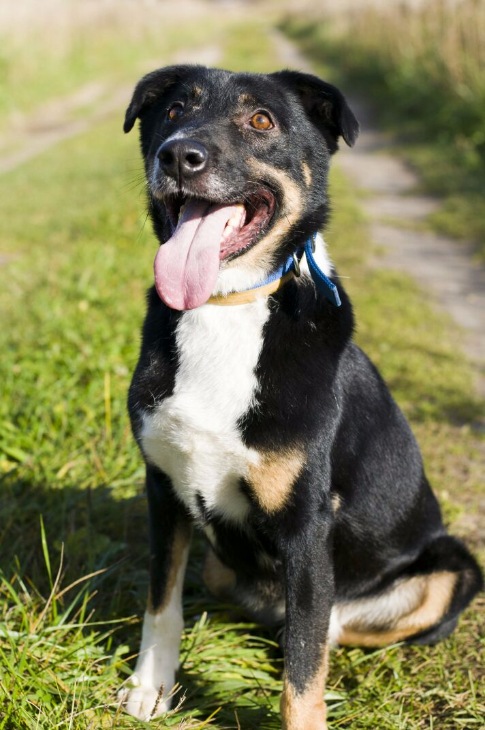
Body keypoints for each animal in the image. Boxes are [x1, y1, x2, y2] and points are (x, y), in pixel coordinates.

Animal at [120, 65, 482, 729]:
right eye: (175, 110)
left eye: (261, 120)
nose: (179, 155)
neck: (226, 307)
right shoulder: (163, 489)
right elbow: (162, 603)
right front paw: (150, 687)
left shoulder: (308, 527)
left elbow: (303, 669)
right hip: (221, 563)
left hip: (453, 569)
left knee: (330, 626)